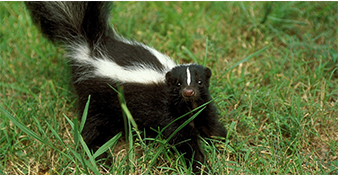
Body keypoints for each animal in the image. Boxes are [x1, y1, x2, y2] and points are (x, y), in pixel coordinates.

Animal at [25, 1, 227, 173]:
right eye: (178, 84)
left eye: (199, 82)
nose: (188, 92)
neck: (189, 106)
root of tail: (88, 49)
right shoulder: (170, 112)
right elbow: (183, 140)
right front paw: (201, 165)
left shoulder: (202, 106)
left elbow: (211, 125)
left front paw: (222, 143)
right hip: (95, 98)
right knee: (91, 128)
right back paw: (101, 157)